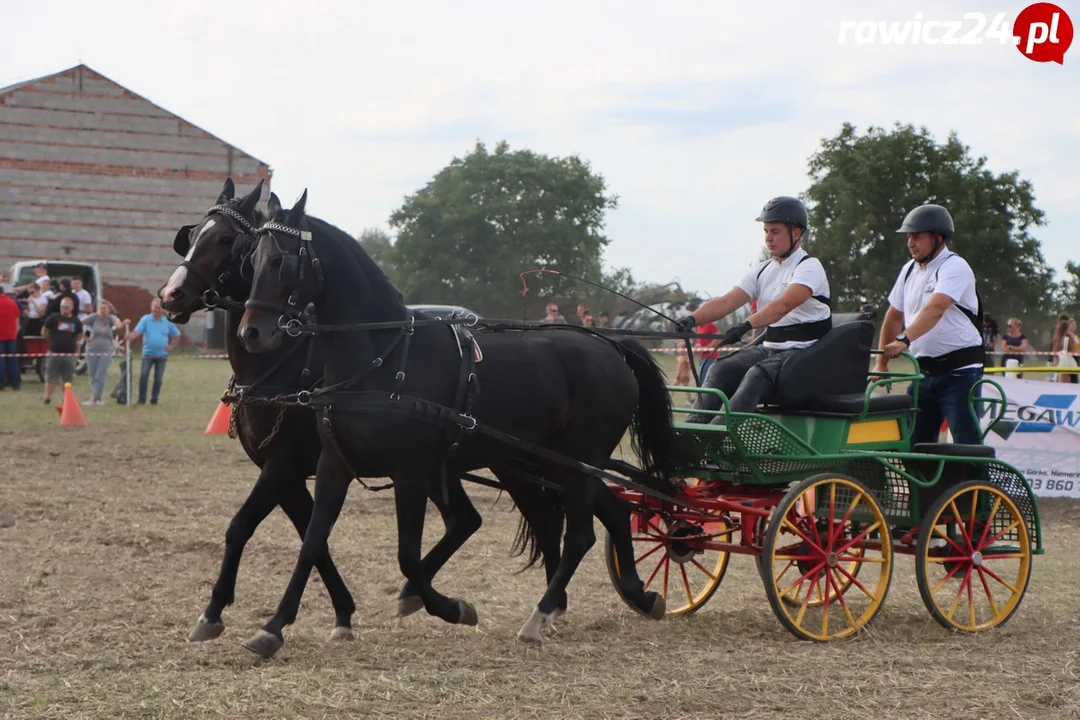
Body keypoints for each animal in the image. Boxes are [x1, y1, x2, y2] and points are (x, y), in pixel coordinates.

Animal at [238, 189, 673, 660]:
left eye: (281, 261)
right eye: (251, 261)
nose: (251, 333)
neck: (383, 361)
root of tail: (612, 347)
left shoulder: (410, 472)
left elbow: (407, 556)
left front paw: (451, 608)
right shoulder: (335, 465)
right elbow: (312, 543)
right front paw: (272, 628)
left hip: (577, 462)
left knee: (579, 536)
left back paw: (539, 618)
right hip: (555, 463)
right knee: (614, 512)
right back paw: (638, 594)